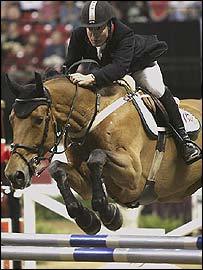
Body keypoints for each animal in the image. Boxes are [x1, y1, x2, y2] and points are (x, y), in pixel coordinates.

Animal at [4, 71, 201, 234]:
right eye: (11, 119)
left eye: (38, 120)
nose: (15, 174)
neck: (91, 117)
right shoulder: (85, 184)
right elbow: (57, 168)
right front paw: (86, 219)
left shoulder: (134, 176)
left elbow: (97, 156)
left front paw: (108, 213)